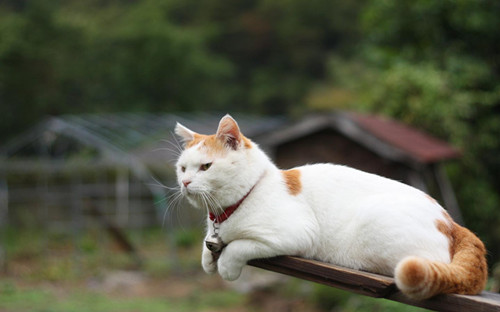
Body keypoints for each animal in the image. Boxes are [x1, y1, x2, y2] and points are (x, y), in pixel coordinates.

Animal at [174, 114, 486, 300]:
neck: (227, 212)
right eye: (182, 168)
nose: (185, 182)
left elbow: (239, 246)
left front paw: (226, 266)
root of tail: (451, 221)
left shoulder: (294, 234)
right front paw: (208, 257)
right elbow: (209, 245)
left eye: (206, 167)